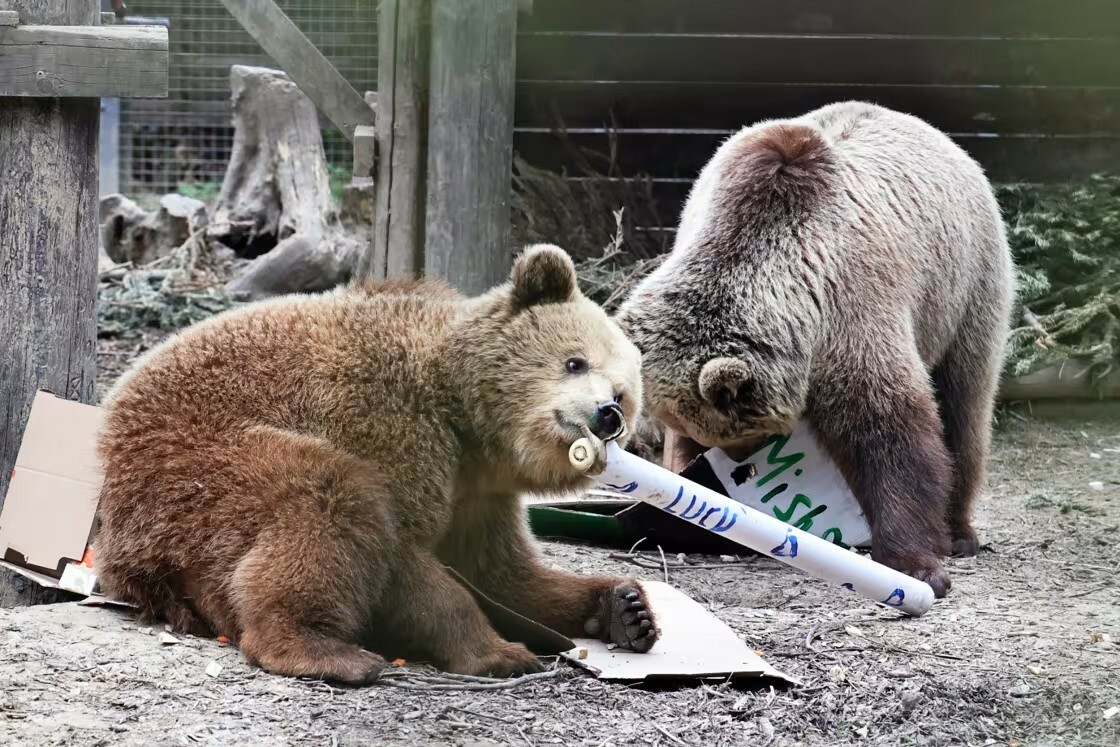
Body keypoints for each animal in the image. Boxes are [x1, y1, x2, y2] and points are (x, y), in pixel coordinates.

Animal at [93, 244, 658, 685]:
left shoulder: (478, 495)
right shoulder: (388, 422)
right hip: (195, 462)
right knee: (328, 500)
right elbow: (408, 557)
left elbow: (502, 571)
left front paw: (625, 608)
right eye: (574, 361)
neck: (467, 423)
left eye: (623, 395)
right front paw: (499, 652)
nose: (605, 415)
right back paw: (325, 650)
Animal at [615, 101, 1016, 598]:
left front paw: (916, 564)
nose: (737, 466)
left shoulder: (851, 307)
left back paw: (960, 532)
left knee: (965, 403)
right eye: (711, 435)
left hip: (966, 287)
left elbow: (891, 435)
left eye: (741, 435)